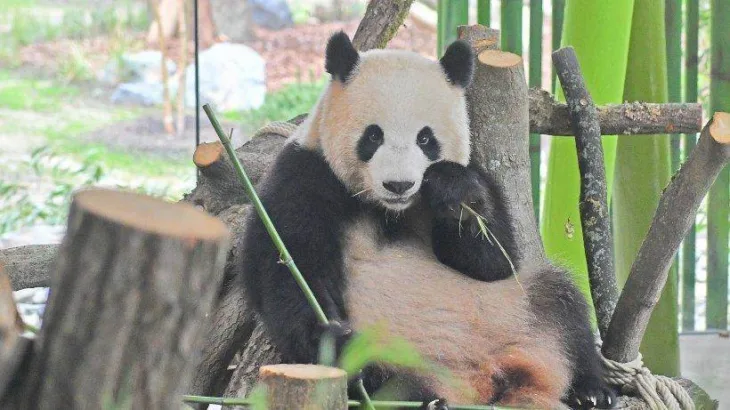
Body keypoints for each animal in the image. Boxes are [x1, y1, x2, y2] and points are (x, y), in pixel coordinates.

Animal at [236, 31, 616, 410]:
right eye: (373, 135)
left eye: (425, 138)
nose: (399, 184)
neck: (389, 210)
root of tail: (483, 381)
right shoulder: (304, 178)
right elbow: (292, 271)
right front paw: (330, 334)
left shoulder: (474, 172)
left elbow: (495, 260)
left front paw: (455, 193)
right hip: (397, 355)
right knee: (382, 382)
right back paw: (426, 398)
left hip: (520, 308)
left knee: (563, 305)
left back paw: (590, 391)